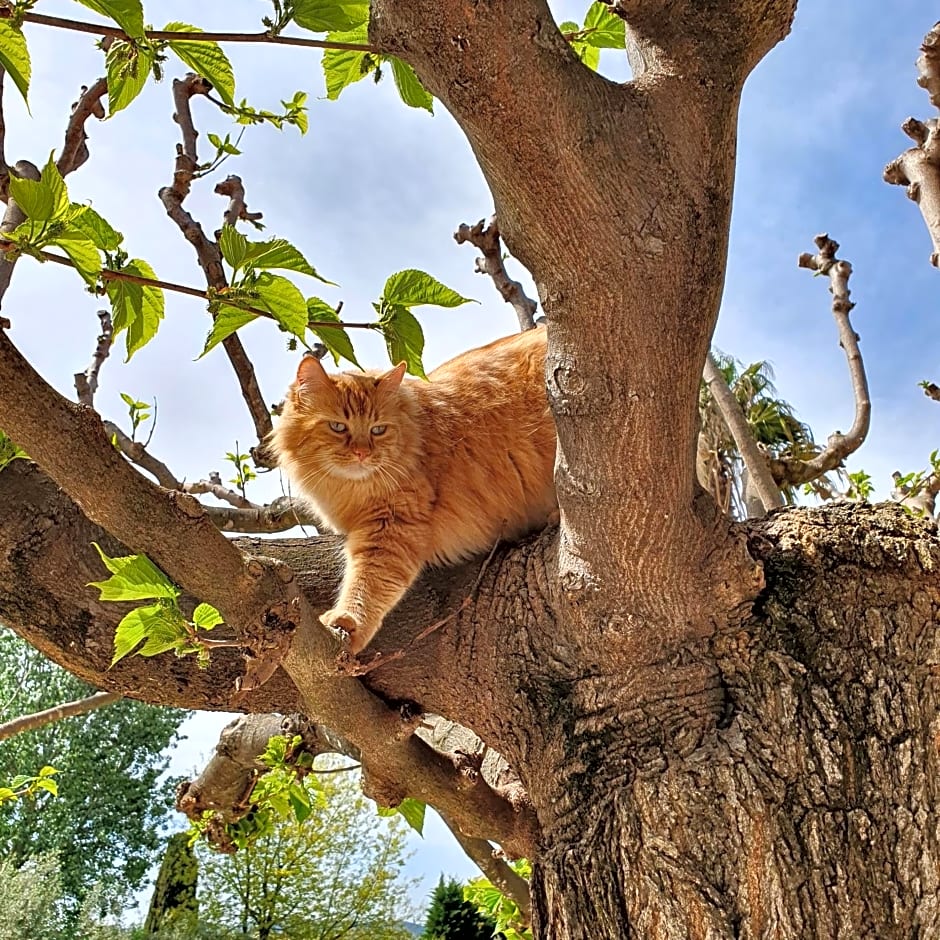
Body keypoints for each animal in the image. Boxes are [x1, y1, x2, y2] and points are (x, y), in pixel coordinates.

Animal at [268, 324, 556, 652]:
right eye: (338, 427)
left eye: (378, 430)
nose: (362, 453)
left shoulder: (392, 528)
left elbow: (368, 584)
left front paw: (349, 622)